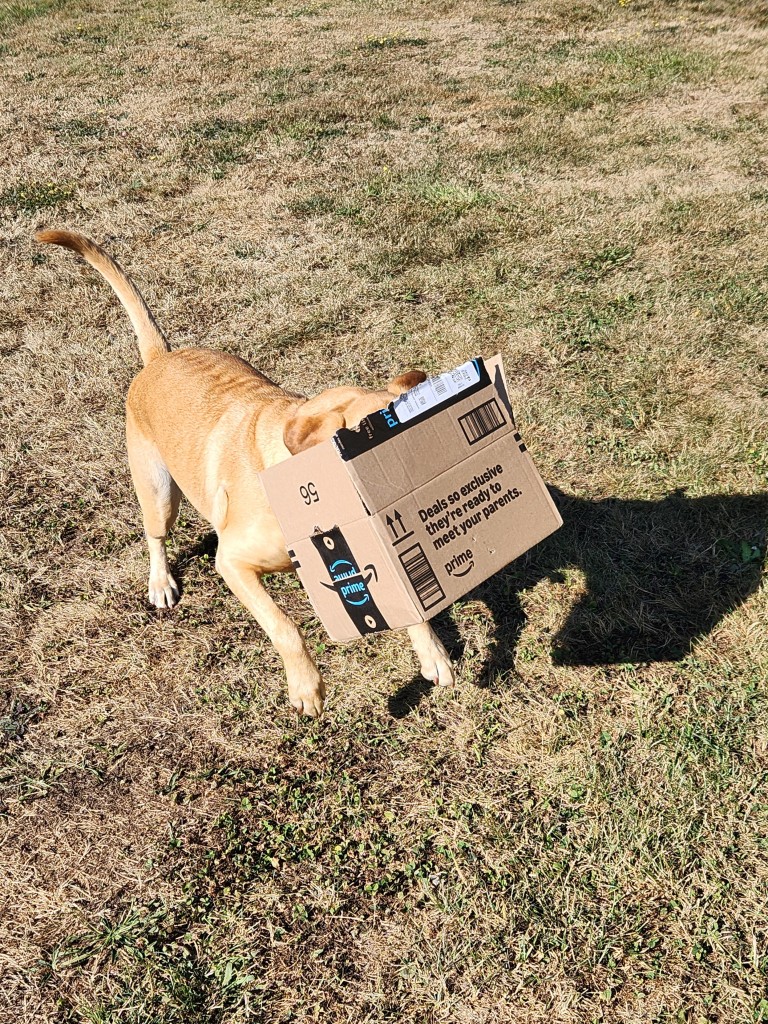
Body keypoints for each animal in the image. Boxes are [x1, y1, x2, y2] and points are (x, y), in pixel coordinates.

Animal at [37, 229, 456, 716]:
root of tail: (159, 358)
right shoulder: (233, 562)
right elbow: (284, 626)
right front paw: (306, 687)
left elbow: (410, 602)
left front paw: (433, 655)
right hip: (159, 494)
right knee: (155, 536)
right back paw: (160, 582)